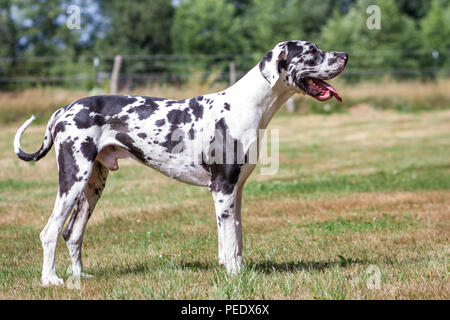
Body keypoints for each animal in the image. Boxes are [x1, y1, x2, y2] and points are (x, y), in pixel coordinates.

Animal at [13, 38, 344, 286]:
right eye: (311, 52)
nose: (344, 55)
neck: (248, 105)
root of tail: (63, 109)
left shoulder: (236, 190)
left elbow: (237, 236)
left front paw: (240, 270)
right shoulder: (222, 188)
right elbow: (228, 241)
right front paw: (233, 275)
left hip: (93, 185)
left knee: (72, 233)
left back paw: (80, 278)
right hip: (73, 178)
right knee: (50, 231)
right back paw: (50, 280)